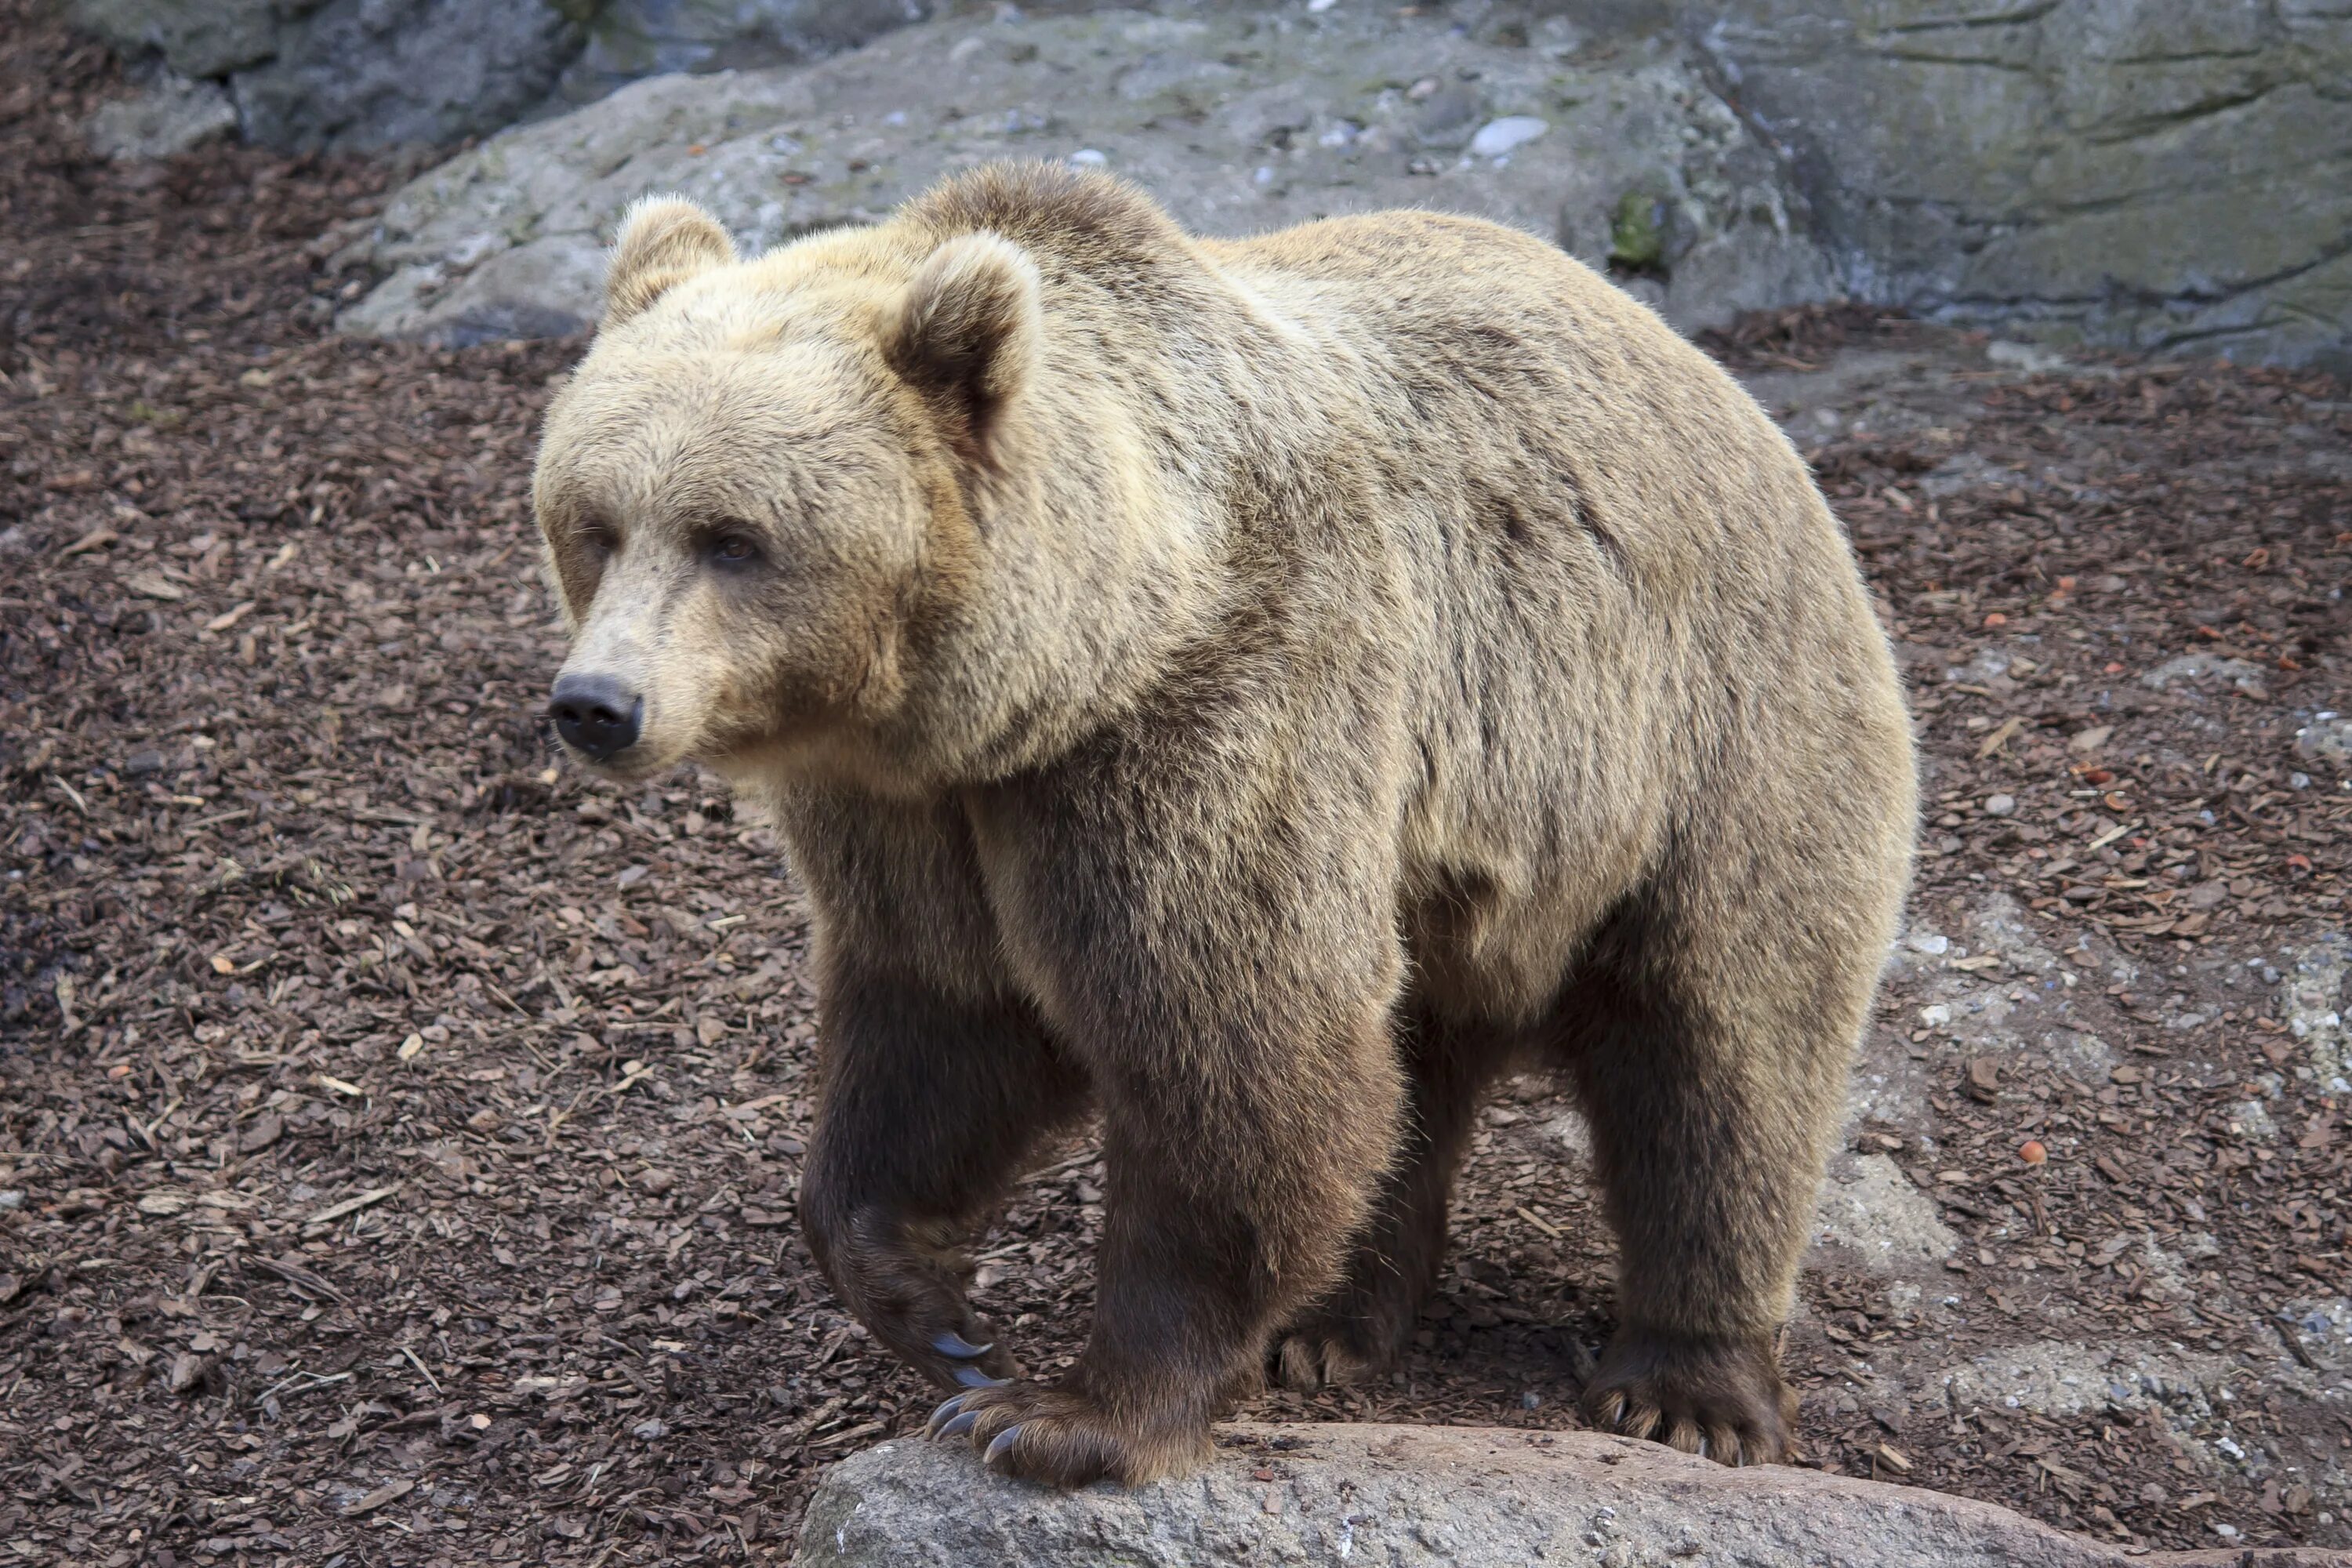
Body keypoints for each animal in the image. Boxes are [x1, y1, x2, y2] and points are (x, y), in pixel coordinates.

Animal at [534, 162, 1910, 1495]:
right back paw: (1331, 1323)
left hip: (1706, 737)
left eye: (732, 538)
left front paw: (1066, 1415)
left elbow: (1236, 1043)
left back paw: (1687, 1388)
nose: (598, 704)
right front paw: (932, 1308)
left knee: (1725, 1052)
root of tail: (1719, 382)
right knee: (1412, 1059)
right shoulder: (917, 813)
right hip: (1451, 870)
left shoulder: (1222, 714)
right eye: (595, 522)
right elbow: (939, 1015)